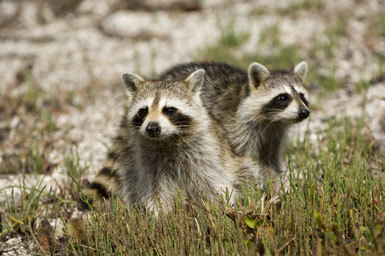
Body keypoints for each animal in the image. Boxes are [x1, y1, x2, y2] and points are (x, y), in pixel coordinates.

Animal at [158, 61, 310, 185]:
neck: (272, 122)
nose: (304, 112)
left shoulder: (274, 137)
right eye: (283, 97)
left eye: (302, 96)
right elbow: (240, 161)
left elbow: (271, 164)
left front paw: (274, 190)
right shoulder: (236, 130)